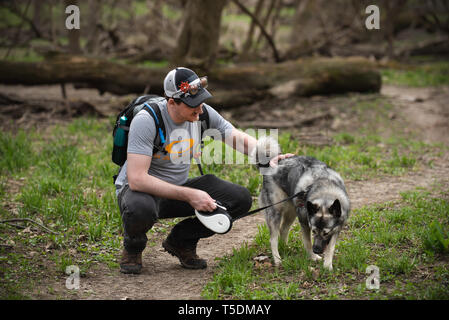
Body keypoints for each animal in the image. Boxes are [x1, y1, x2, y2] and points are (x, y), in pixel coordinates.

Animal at [252, 138, 350, 270]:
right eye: (313, 231)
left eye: (326, 233)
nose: (316, 250)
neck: (325, 187)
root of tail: (269, 165)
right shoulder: (305, 223)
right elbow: (308, 242)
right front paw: (313, 257)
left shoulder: (336, 229)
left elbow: (330, 247)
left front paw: (328, 265)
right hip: (276, 213)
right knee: (273, 239)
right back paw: (277, 259)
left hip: (291, 213)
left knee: (283, 229)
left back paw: (285, 248)